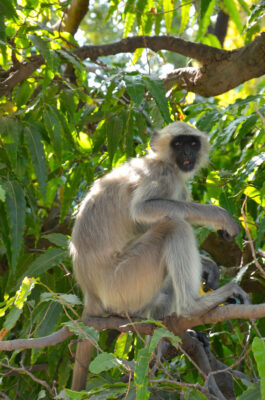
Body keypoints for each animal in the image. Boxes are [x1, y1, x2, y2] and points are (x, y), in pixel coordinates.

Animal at [69, 121, 249, 390]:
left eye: (192, 143)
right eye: (178, 143)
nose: (187, 153)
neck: (162, 160)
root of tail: (91, 292)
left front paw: (208, 265)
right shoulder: (163, 175)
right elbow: (143, 209)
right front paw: (220, 216)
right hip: (123, 281)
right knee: (174, 225)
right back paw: (192, 308)